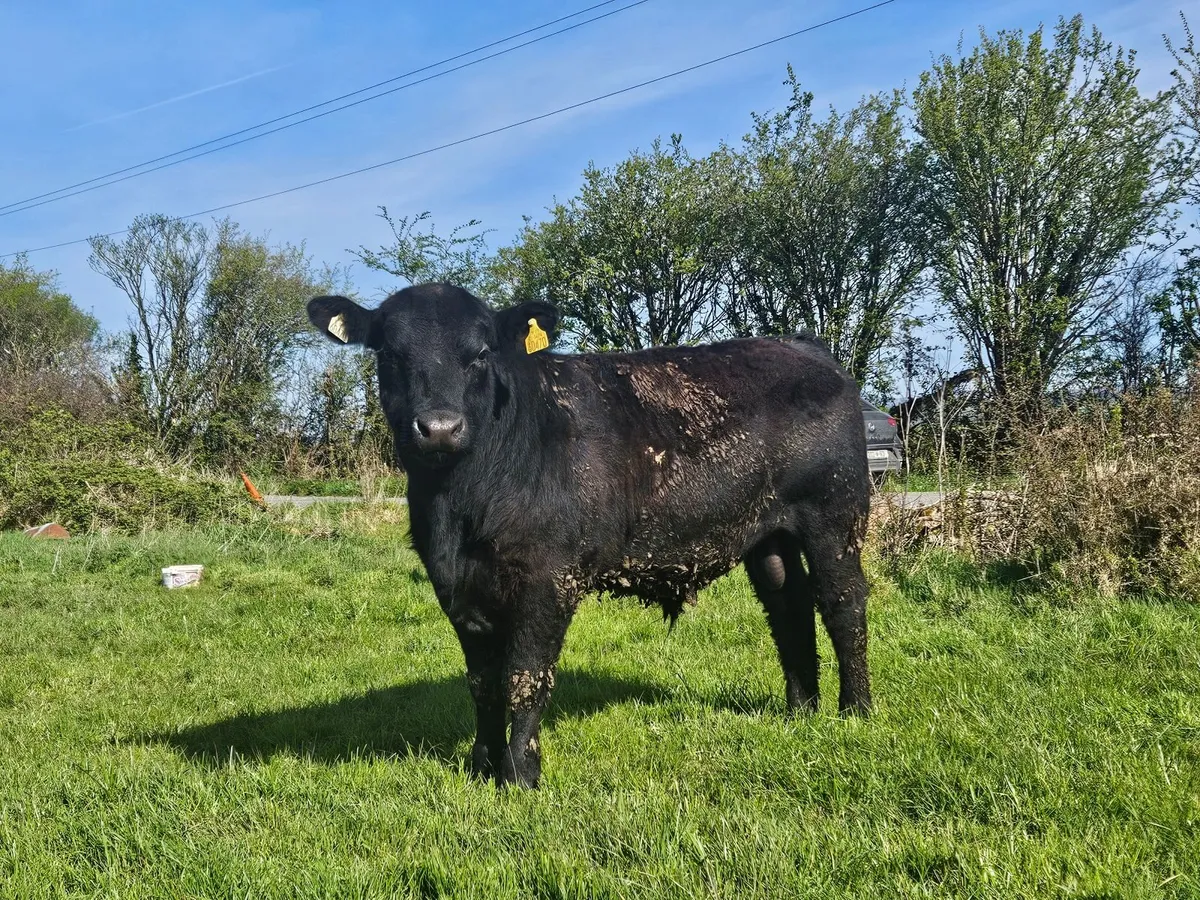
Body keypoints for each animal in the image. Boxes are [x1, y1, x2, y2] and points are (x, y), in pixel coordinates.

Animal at [307, 283, 872, 788]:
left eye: (482, 352)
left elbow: (525, 677)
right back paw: (801, 711)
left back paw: (856, 711)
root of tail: (803, 346)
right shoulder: (456, 584)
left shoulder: (548, 577)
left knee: (842, 602)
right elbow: (483, 682)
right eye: (388, 353)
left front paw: (520, 775)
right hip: (768, 533)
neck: (460, 505)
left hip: (835, 514)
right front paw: (480, 765)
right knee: (788, 604)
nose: (441, 428)